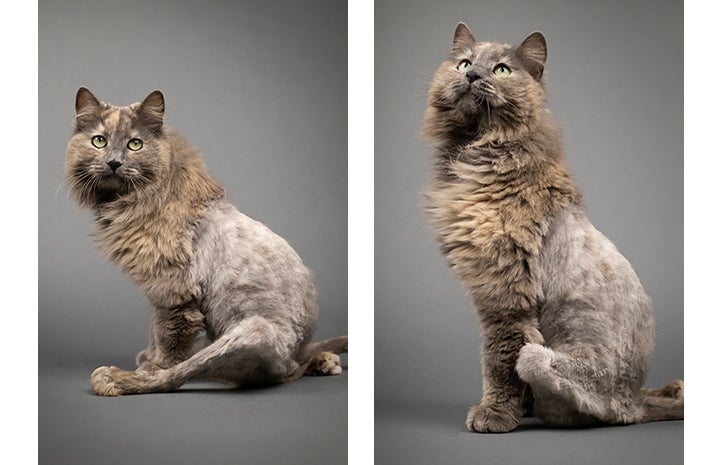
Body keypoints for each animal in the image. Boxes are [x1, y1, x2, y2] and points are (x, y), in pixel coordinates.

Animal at [66, 86, 348, 396]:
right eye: (99, 141)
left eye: (135, 144)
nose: (114, 162)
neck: (131, 200)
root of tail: (289, 362)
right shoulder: (158, 292)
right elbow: (154, 330)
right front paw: (149, 357)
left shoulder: (174, 292)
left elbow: (168, 344)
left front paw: (153, 365)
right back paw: (324, 361)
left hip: (251, 331)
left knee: (180, 374)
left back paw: (114, 378)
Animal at [422, 23, 680, 432]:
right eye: (463, 63)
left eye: (501, 70)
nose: (472, 75)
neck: (475, 148)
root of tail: (635, 402)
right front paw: (510, 410)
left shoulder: (505, 297)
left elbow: (499, 360)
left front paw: (495, 415)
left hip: (545, 358)